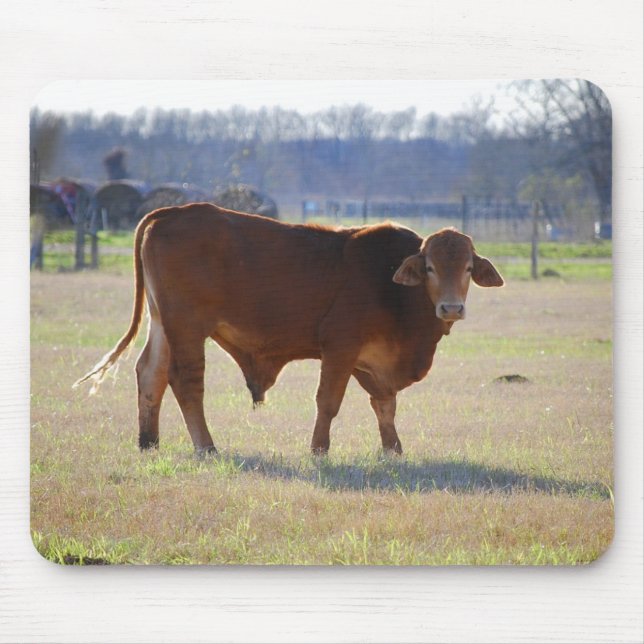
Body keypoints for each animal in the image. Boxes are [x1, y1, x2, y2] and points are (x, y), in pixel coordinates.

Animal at [74, 203, 504, 455]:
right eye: (430, 267)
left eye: (468, 268)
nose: (451, 307)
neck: (390, 284)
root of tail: (170, 212)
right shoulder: (340, 349)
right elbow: (328, 402)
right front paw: (319, 449)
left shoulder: (373, 364)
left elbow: (385, 405)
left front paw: (392, 449)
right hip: (187, 328)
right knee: (185, 381)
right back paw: (206, 447)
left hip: (163, 324)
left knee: (150, 374)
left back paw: (149, 442)